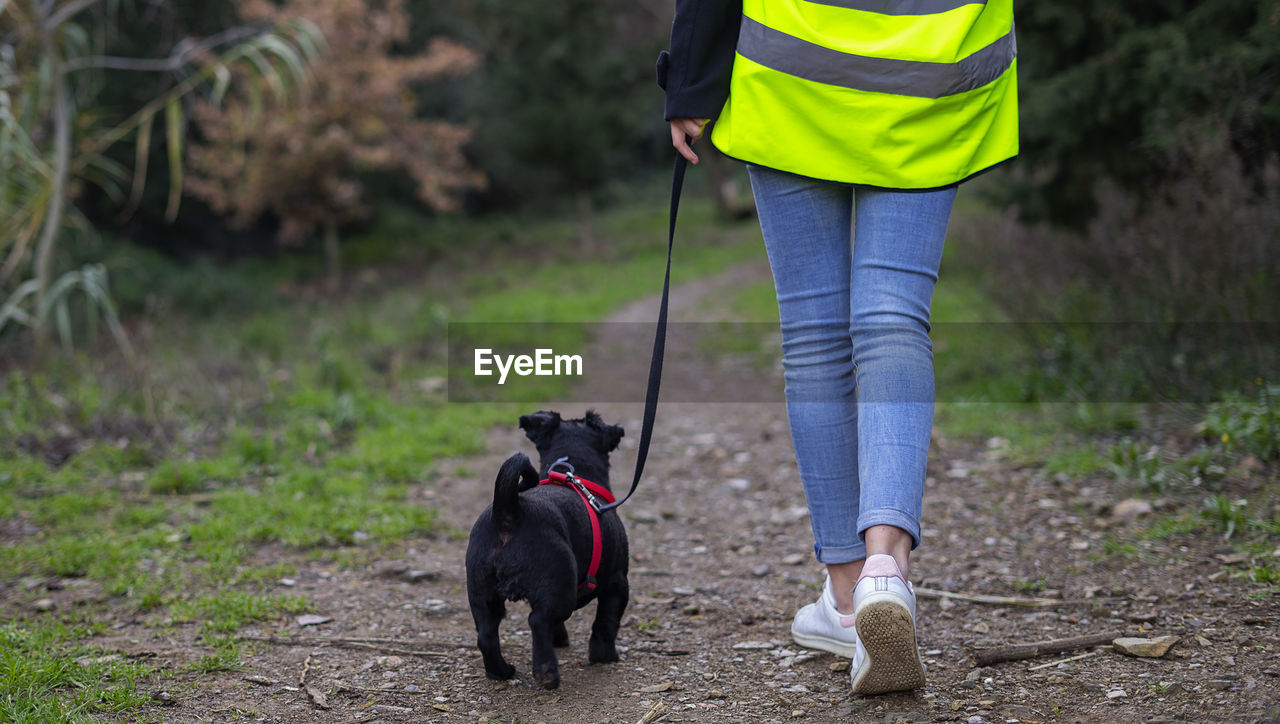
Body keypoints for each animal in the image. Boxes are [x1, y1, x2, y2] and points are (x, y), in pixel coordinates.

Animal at [468, 411, 632, 690]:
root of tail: (509, 511)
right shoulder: (617, 583)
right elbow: (606, 623)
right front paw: (604, 656)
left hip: (483, 594)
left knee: (487, 635)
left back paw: (501, 671)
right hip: (559, 587)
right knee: (538, 621)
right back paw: (547, 672)